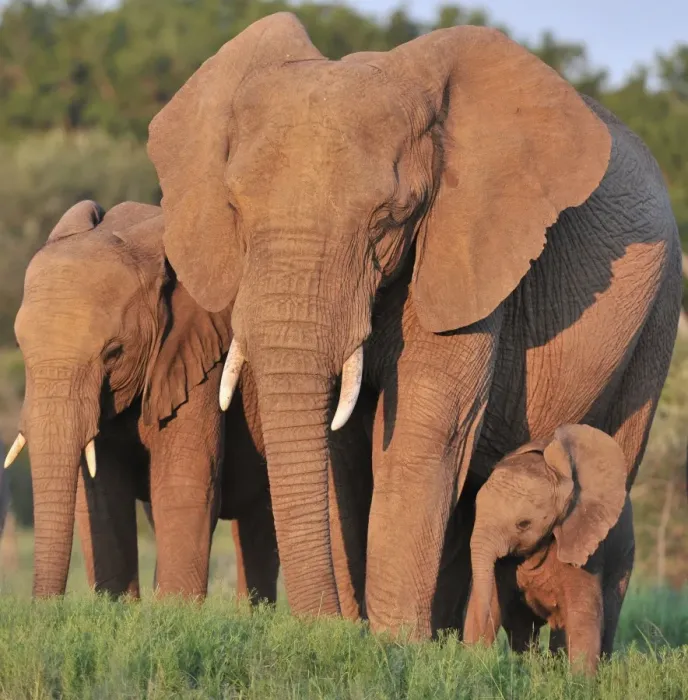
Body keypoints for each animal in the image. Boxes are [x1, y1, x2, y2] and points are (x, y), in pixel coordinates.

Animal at [5, 200, 278, 601]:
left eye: (114, 353)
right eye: (21, 348)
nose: (45, 607)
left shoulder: (197, 354)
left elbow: (184, 482)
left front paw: (177, 611)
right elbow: (103, 495)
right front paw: (114, 608)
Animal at [145, 13, 682, 637]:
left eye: (388, 219)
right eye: (233, 208)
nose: (320, 623)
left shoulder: (465, 253)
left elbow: (424, 430)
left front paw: (390, 644)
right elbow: (342, 452)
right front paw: (361, 638)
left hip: (657, 315)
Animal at [463, 425, 634, 675]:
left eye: (523, 524)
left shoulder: (584, 538)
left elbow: (583, 614)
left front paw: (580, 682)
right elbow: (493, 600)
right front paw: (472, 666)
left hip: (624, 557)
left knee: (606, 617)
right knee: (523, 628)